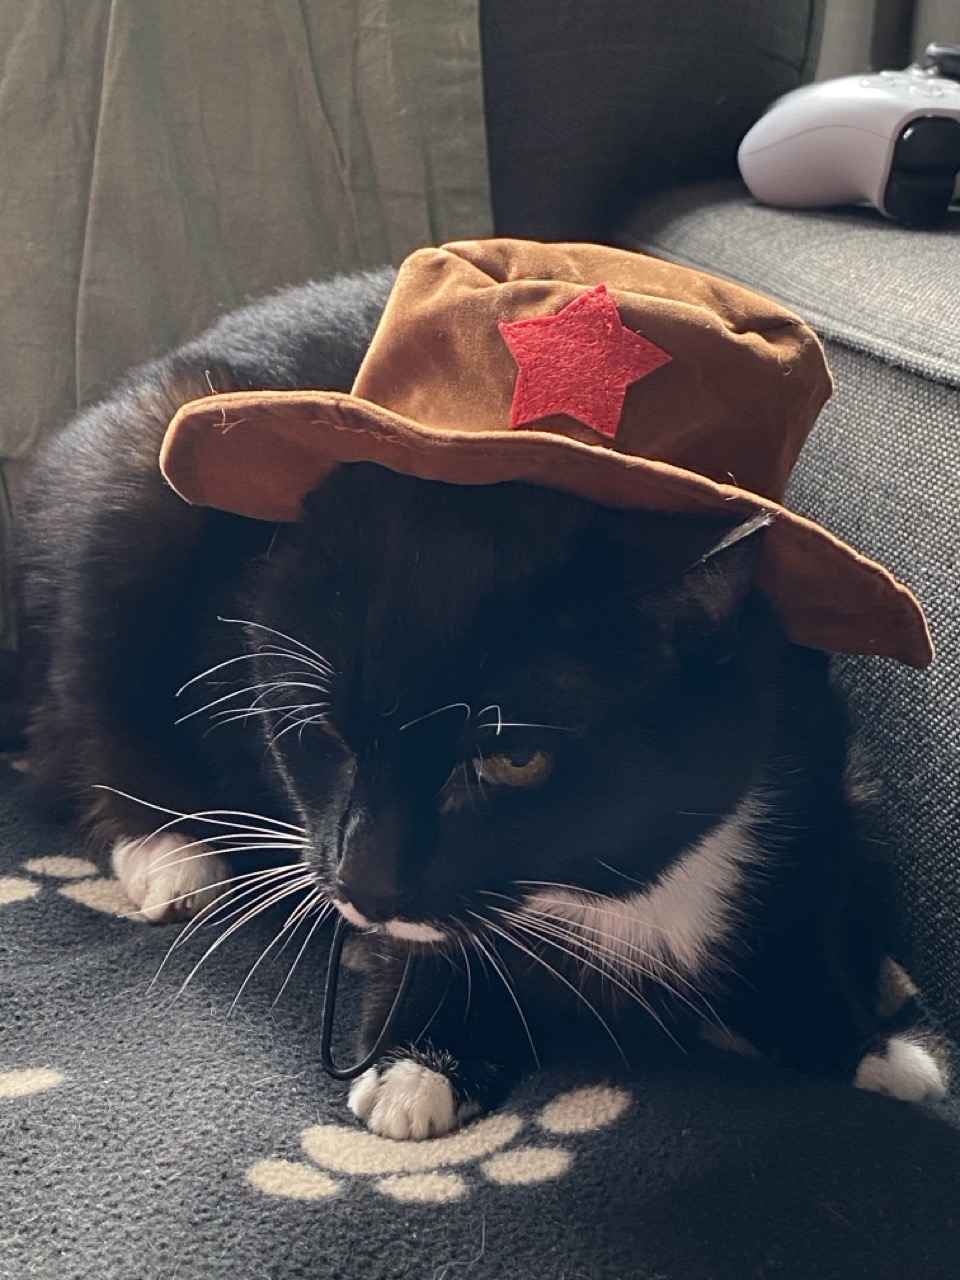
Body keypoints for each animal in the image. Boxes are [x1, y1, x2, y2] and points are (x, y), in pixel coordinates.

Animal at [18, 262, 952, 1141]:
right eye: (322, 731)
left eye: (514, 757)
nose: (363, 889)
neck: (602, 888)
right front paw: (419, 1061)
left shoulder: (807, 750)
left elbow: (803, 897)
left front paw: (868, 1049)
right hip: (131, 490)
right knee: (79, 724)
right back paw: (170, 853)